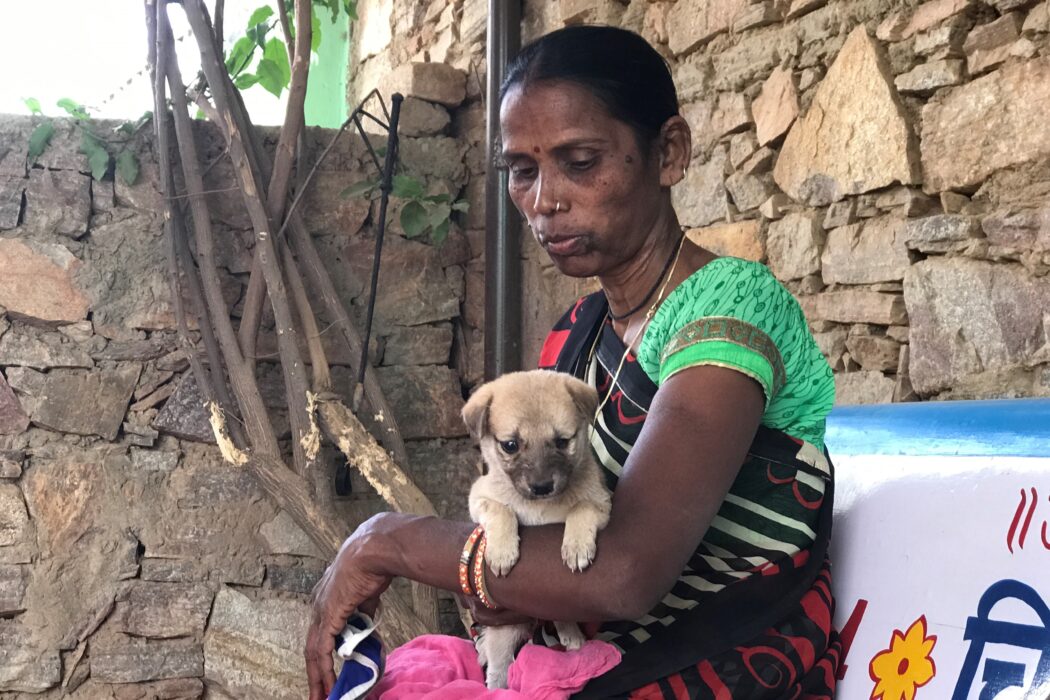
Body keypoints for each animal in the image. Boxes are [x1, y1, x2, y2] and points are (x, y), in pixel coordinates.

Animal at [461, 371, 613, 688]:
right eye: (510, 445)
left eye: (562, 441)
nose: (542, 486)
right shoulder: (479, 497)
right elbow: (502, 509)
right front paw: (502, 552)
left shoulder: (602, 503)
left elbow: (580, 508)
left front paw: (576, 546)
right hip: (505, 632)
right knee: (498, 668)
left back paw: (572, 637)